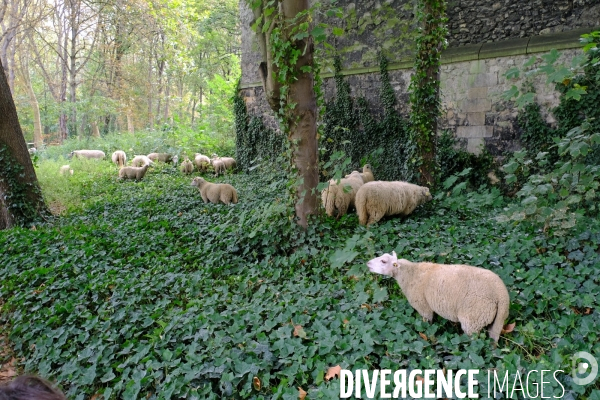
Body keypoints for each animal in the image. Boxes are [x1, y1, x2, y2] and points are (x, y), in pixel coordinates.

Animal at [366, 252, 510, 342]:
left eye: (383, 261)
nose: (367, 263)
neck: (410, 274)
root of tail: (502, 294)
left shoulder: (423, 306)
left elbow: (426, 323)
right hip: (493, 320)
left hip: (473, 318)